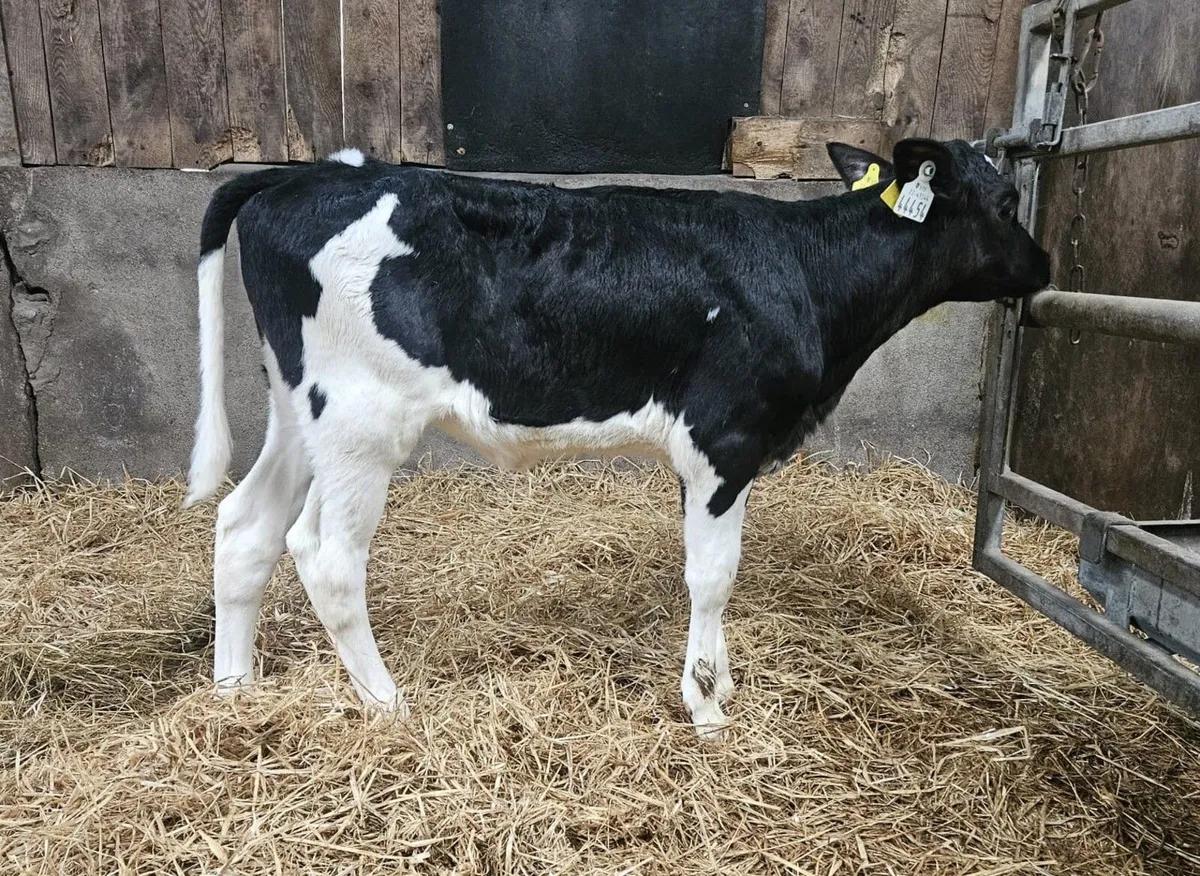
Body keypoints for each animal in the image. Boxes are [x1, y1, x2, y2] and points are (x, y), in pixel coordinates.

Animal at [184, 138, 1050, 738]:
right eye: (1008, 199)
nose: (1044, 268)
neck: (803, 273)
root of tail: (303, 174)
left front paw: (719, 683)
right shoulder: (724, 439)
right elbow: (713, 577)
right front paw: (706, 707)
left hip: (298, 411)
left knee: (245, 527)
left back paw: (234, 695)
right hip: (360, 423)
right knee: (324, 555)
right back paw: (387, 702)